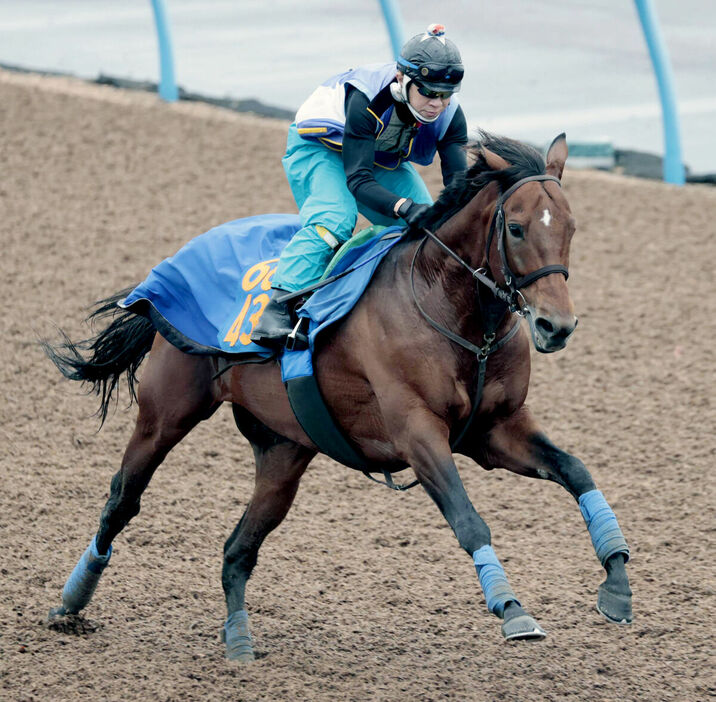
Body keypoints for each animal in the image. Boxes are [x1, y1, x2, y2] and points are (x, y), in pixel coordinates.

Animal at [43, 133, 632, 664]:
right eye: (515, 228)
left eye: (571, 228)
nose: (556, 326)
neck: (455, 312)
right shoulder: (418, 432)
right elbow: (468, 519)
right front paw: (512, 609)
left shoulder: (496, 429)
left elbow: (576, 471)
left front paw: (618, 582)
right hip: (166, 413)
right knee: (123, 499)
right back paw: (71, 603)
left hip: (283, 452)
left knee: (238, 550)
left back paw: (239, 640)